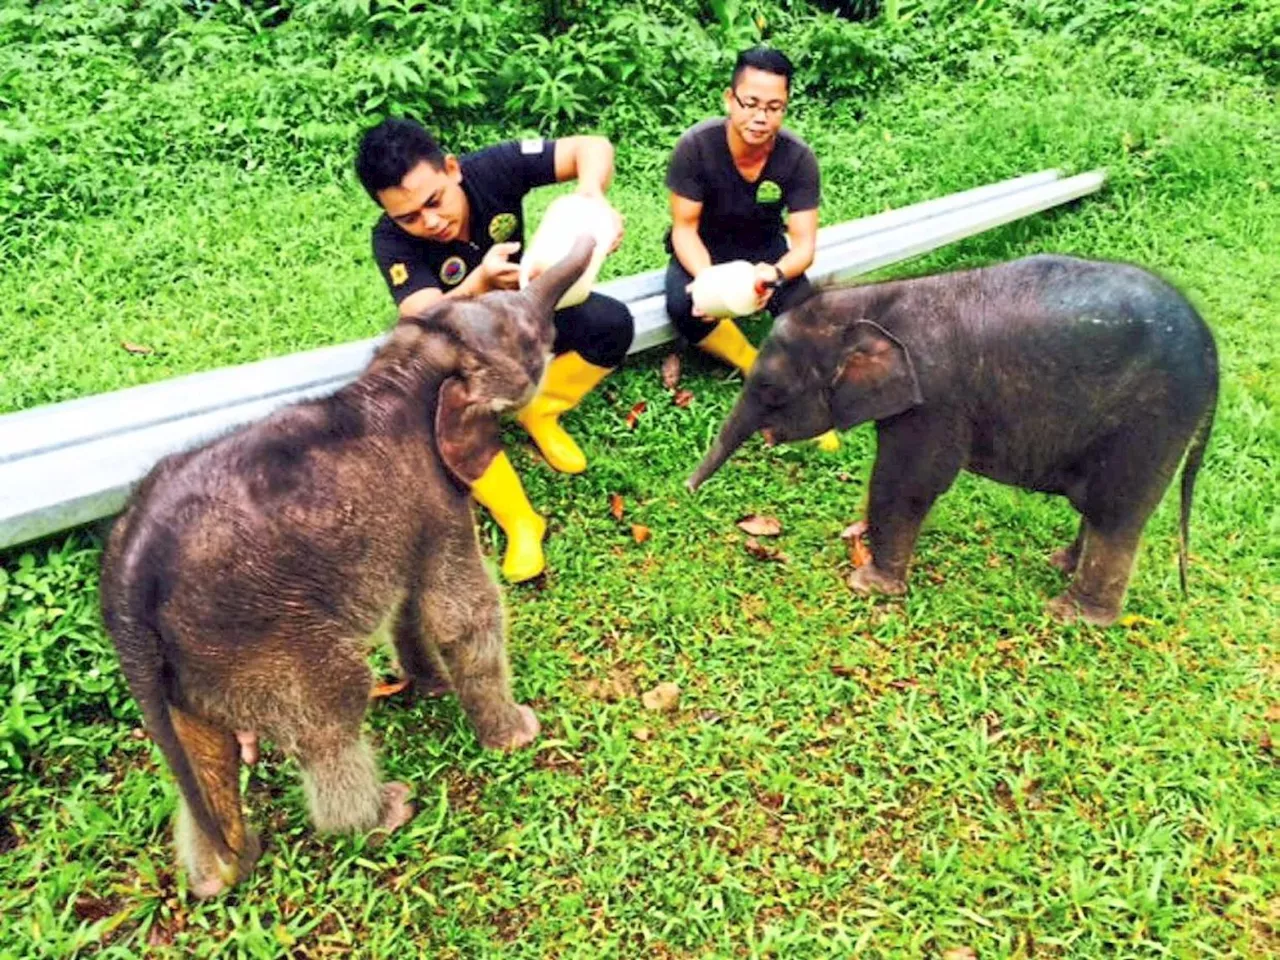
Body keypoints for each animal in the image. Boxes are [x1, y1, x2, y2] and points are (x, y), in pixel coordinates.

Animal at [99, 236, 599, 901]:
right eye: (533, 336)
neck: (405, 366)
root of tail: (127, 588)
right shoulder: (436, 498)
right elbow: (463, 614)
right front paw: (518, 733)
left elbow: (411, 607)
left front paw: (432, 687)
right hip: (260, 640)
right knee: (331, 713)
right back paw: (384, 814)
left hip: (182, 668)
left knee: (202, 751)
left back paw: (222, 873)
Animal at [691, 256, 1218, 627]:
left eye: (769, 389)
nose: (687, 489)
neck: (870, 301)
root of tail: (1213, 353)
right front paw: (857, 540)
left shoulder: (936, 396)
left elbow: (907, 481)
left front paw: (868, 585)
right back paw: (1059, 565)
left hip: (1151, 421)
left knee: (1116, 512)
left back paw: (1074, 615)